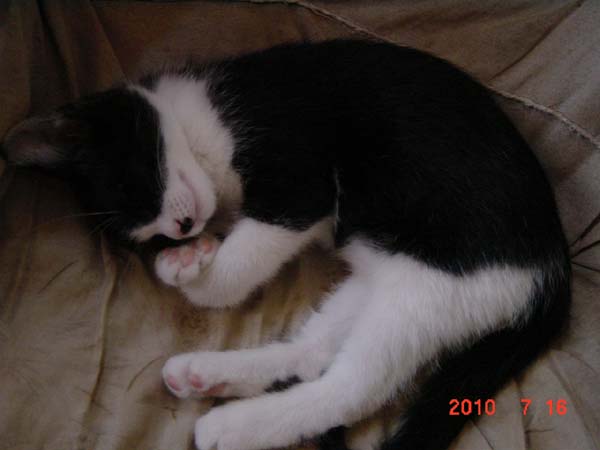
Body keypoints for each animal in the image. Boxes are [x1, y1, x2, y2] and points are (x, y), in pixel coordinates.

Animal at [2, 40, 571, 450]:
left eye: (135, 183)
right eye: (148, 233)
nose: (182, 228)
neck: (206, 127)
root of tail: (554, 271)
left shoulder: (299, 183)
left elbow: (231, 275)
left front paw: (191, 264)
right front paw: (189, 254)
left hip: (438, 285)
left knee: (352, 389)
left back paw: (230, 427)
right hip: (392, 273)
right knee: (314, 352)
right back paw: (208, 375)